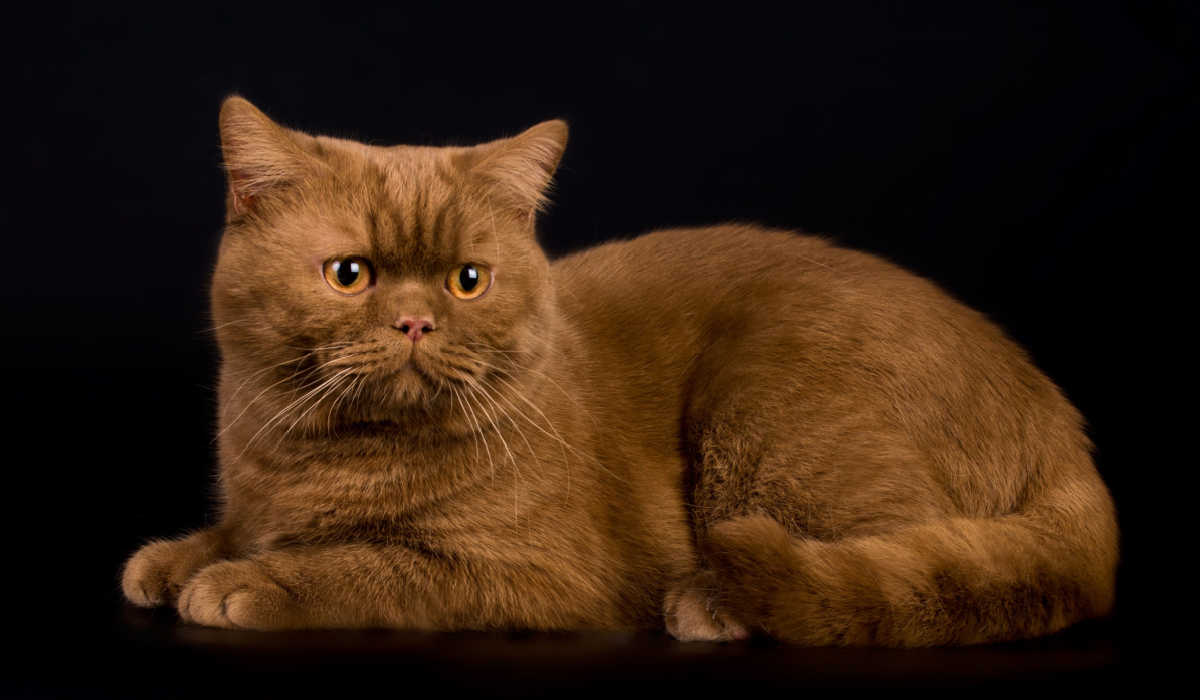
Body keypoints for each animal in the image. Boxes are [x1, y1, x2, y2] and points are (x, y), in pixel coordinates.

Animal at [119, 97, 1113, 648]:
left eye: (468, 280)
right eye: (349, 274)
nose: (414, 319)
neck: (312, 459)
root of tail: (1053, 413)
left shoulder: (534, 575)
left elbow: (370, 569)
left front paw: (245, 582)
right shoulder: (258, 497)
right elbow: (231, 531)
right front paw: (173, 559)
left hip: (777, 409)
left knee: (888, 552)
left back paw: (710, 600)